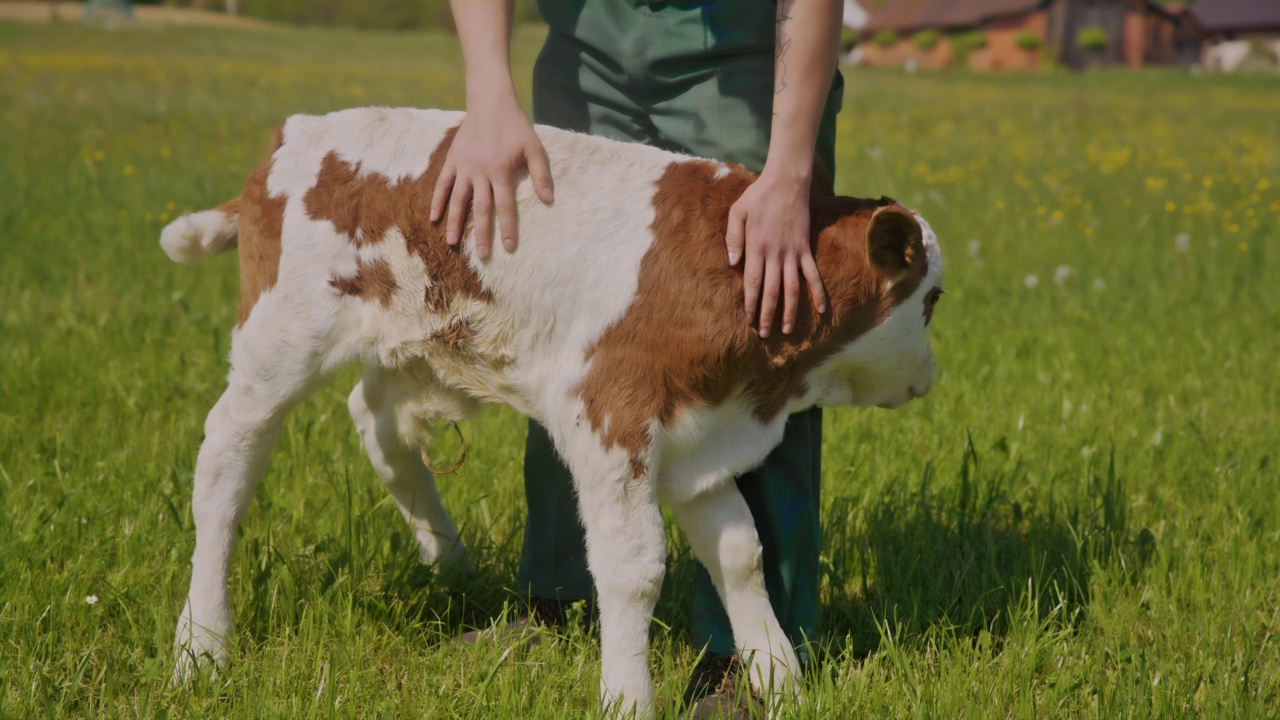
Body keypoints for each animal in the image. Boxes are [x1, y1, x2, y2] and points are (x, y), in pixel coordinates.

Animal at [160, 106, 947, 712]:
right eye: (932, 299)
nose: (931, 376)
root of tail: (297, 131)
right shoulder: (607, 414)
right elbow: (635, 569)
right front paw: (627, 698)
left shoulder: (697, 435)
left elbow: (740, 551)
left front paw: (779, 680)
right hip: (280, 339)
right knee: (224, 464)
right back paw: (201, 645)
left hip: (413, 341)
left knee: (376, 422)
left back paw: (449, 559)